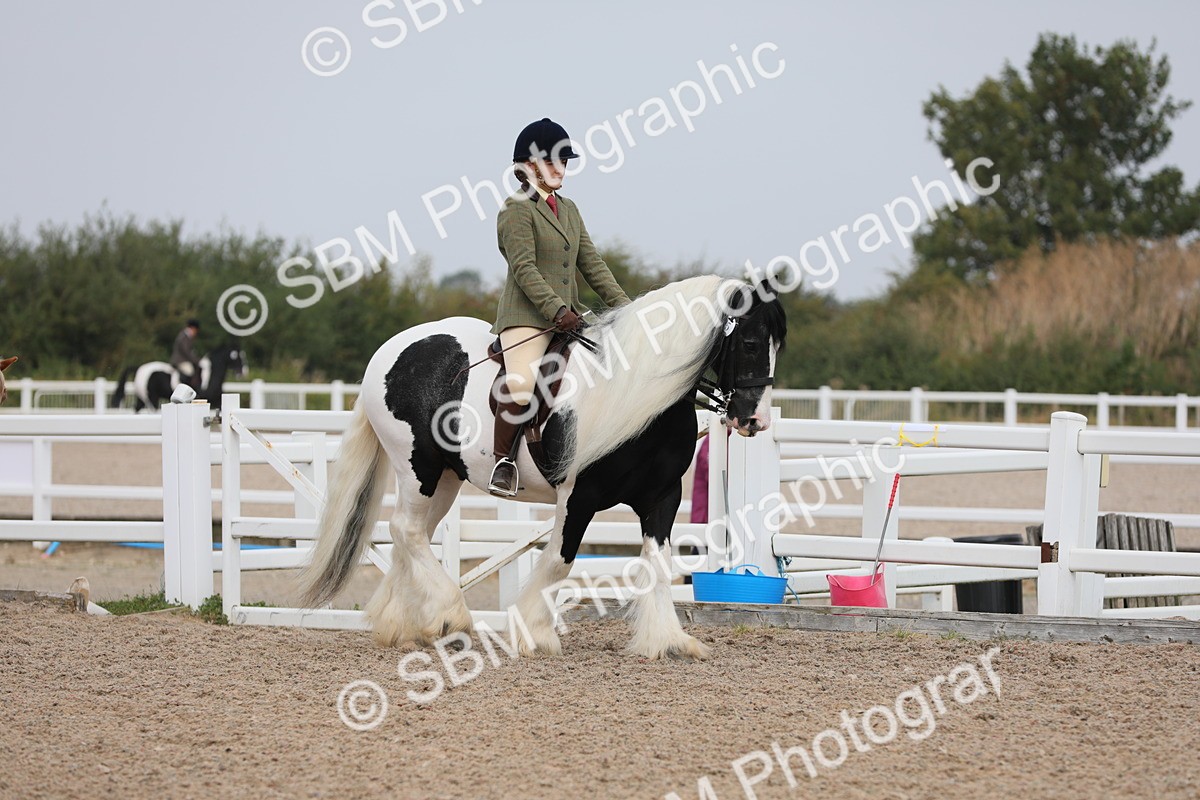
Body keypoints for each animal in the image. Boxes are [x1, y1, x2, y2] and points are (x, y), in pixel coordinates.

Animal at [111, 343, 247, 412]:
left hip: (142, 397)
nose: (244, 372)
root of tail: (140, 368)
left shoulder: (217, 400)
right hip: (151, 398)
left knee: (136, 409)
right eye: (236, 356)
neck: (211, 375)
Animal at [299, 275, 785, 660]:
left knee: (411, 534)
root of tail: (389, 351)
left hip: (445, 478)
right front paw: (534, 634)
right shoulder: (578, 497)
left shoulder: (662, 496)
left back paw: (407, 625)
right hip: (417, 467)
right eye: (749, 343)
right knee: (406, 530)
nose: (755, 421)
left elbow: (658, 563)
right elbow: (558, 562)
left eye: (777, 344)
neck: (639, 395)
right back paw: (451, 616)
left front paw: (667, 640)